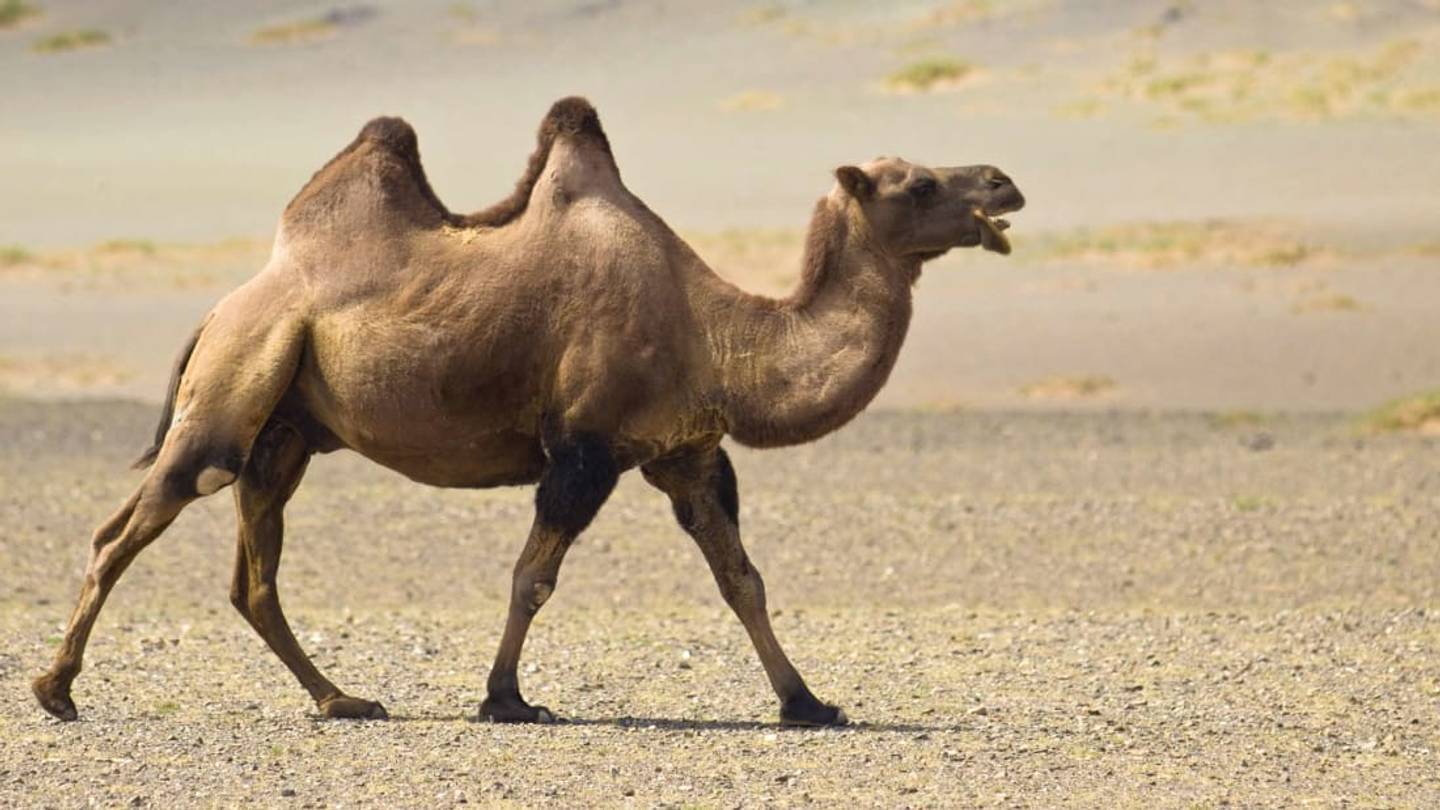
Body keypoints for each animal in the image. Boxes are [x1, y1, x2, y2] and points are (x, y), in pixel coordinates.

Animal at [32, 97, 1024, 727]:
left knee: (252, 573)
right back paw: (57, 690)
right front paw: (506, 699)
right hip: (234, 385)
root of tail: (222, 306)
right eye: (918, 184)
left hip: (287, 430)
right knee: (131, 525)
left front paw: (808, 703)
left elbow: (742, 578)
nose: (1004, 182)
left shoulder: (686, 452)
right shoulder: (585, 447)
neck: (714, 329)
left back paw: (342, 699)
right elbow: (532, 577)